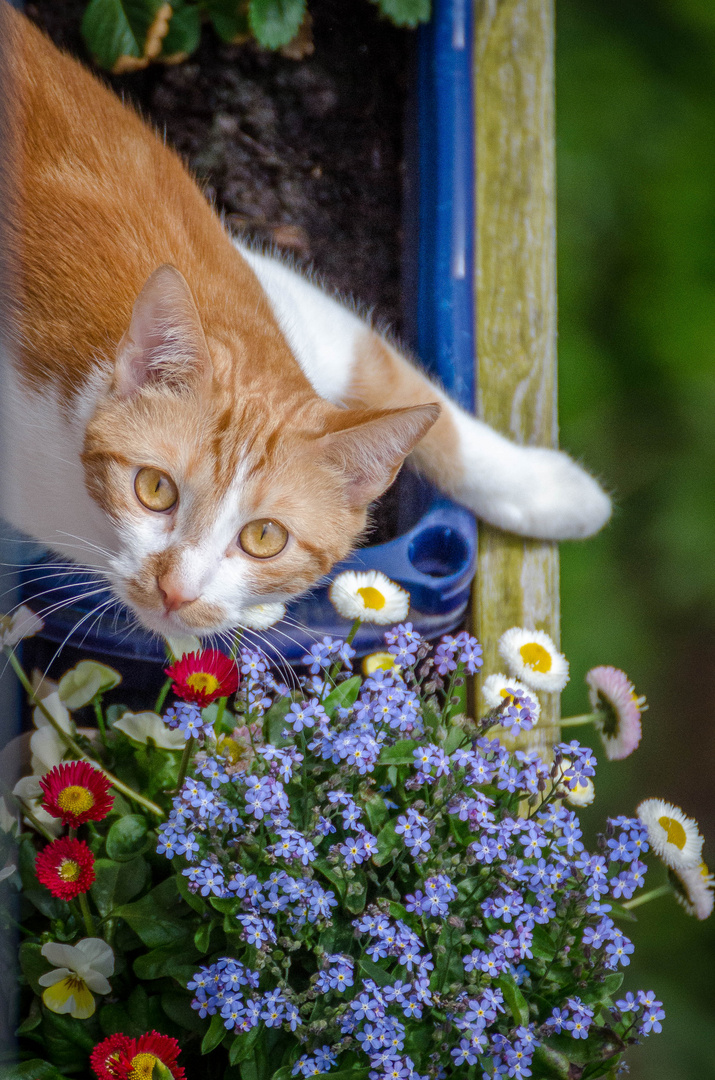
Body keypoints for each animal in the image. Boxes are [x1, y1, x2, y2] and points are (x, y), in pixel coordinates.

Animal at [0, 4, 609, 639]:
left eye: (264, 537)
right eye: (155, 489)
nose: (177, 591)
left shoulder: (298, 306)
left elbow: (421, 403)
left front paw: (554, 493)